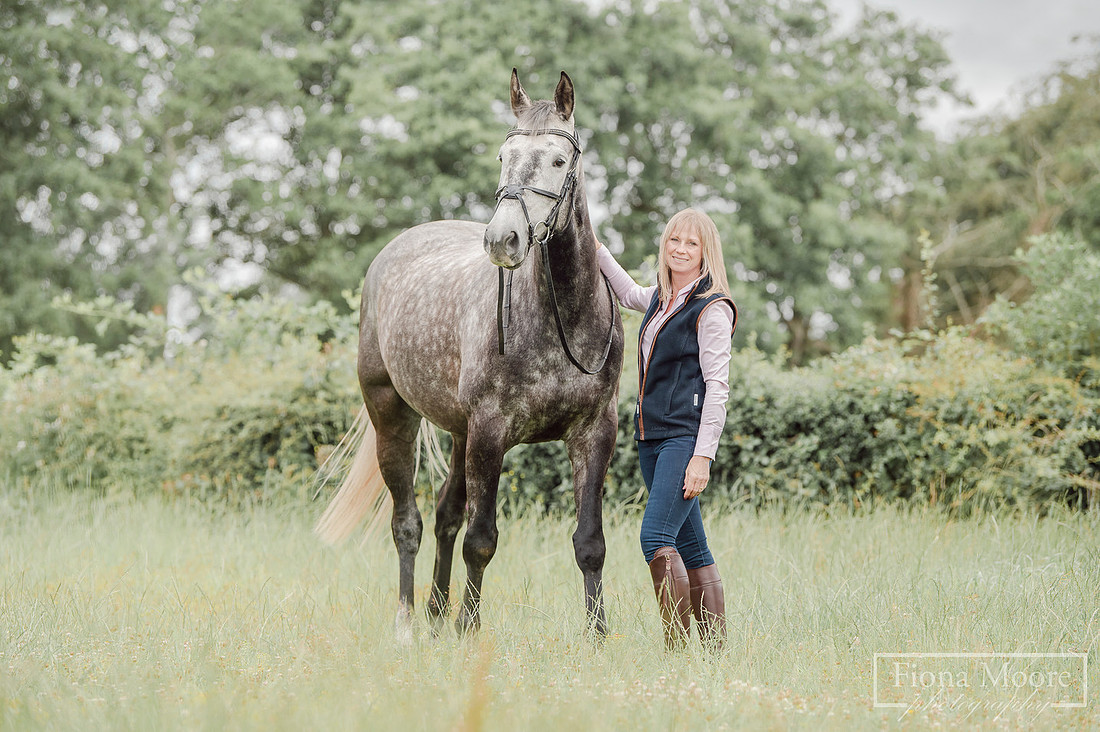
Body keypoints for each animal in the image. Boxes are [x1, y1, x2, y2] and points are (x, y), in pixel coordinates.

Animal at [316, 69, 625, 638]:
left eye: (559, 160)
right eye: (503, 156)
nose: (503, 239)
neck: (561, 320)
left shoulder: (595, 432)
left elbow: (589, 542)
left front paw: (598, 634)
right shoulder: (490, 432)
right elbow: (481, 540)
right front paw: (470, 627)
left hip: (459, 434)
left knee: (444, 516)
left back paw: (437, 613)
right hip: (395, 418)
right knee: (409, 523)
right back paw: (409, 623)